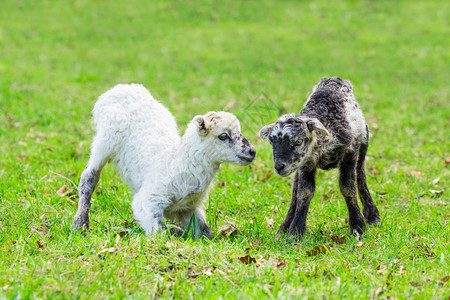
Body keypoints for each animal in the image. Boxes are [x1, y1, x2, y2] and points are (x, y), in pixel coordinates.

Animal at [71, 83, 255, 238]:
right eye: (223, 136)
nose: (252, 152)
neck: (178, 160)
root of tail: (122, 87)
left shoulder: (188, 208)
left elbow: (205, 232)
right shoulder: (148, 201)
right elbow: (161, 233)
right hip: (107, 137)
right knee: (89, 176)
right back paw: (80, 223)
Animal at [260, 76, 380, 240]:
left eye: (298, 141)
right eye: (271, 141)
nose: (279, 166)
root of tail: (334, 79)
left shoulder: (350, 152)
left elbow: (348, 188)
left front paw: (358, 228)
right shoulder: (306, 163)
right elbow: (304, 192)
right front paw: (295, 232)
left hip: (363, 144)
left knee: (360, 177)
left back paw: (373, 215)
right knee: (295, 192)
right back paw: (283, 228)